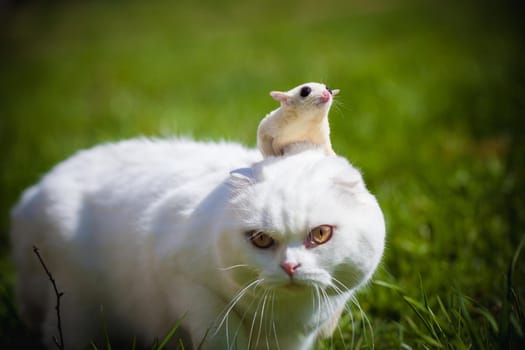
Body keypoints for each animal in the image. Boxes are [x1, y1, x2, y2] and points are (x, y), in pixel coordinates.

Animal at [9, 138, 384, 348]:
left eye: (320, 234)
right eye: (261, 239)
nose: (290, 266)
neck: (287, 316)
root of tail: (30, 195)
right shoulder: (184, 280)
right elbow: (223, 339)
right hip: (74, 312)